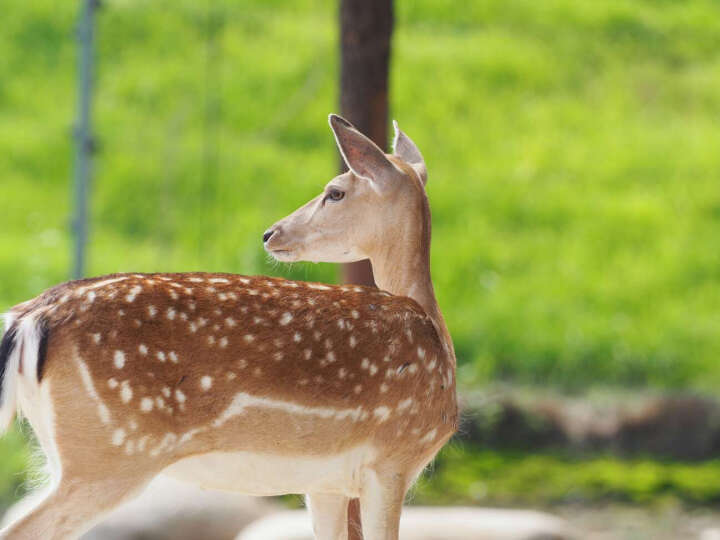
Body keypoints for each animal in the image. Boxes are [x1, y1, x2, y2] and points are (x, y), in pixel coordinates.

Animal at [0, 115, 458, 540]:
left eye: (335, 192)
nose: (271, 233)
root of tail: (28, 318)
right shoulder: (392, 457)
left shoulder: (326, 483)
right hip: (109, 453)